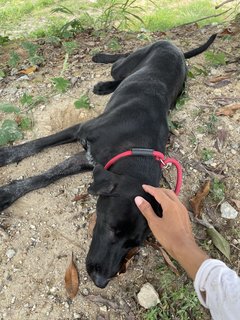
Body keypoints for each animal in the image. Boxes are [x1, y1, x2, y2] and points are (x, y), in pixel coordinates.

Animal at [0, 34, 216, 288]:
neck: (134, 146)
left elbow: (47, 176)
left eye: (133, 244)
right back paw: (101, 61)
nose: (101, 281)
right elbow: (39, 145)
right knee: (120, 61)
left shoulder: (90, 159)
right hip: (125, 64)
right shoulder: (80, 130)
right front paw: (6, 159)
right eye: (112, 228)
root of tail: (175, 47)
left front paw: (9, 191)